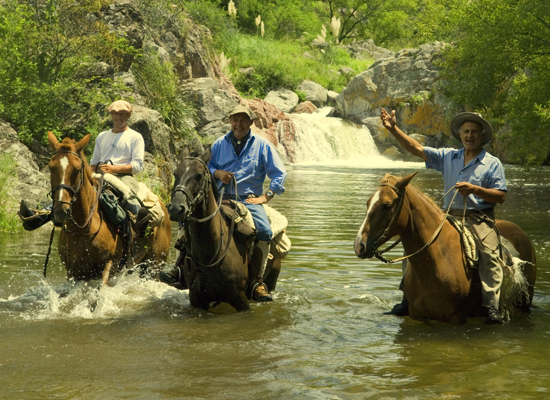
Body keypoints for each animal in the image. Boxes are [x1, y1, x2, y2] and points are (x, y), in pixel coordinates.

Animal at [47, 133, 172, 282]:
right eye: (51, 167)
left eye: (77, 170)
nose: (61, 210)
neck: (85, 226)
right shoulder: (74, 271)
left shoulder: (111, 264)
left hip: (155, 265)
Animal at [167, 145, 280, 310]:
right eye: (176, 173)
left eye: (199, 175)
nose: (176, 208)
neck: (210, 255)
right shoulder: (196, 301)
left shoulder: (241, 301)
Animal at [356, 172, 536, 324]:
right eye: (368, 202)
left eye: (387, 205)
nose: (359, 245)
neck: (438, 259)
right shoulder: (417, 316)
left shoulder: (456, 319)